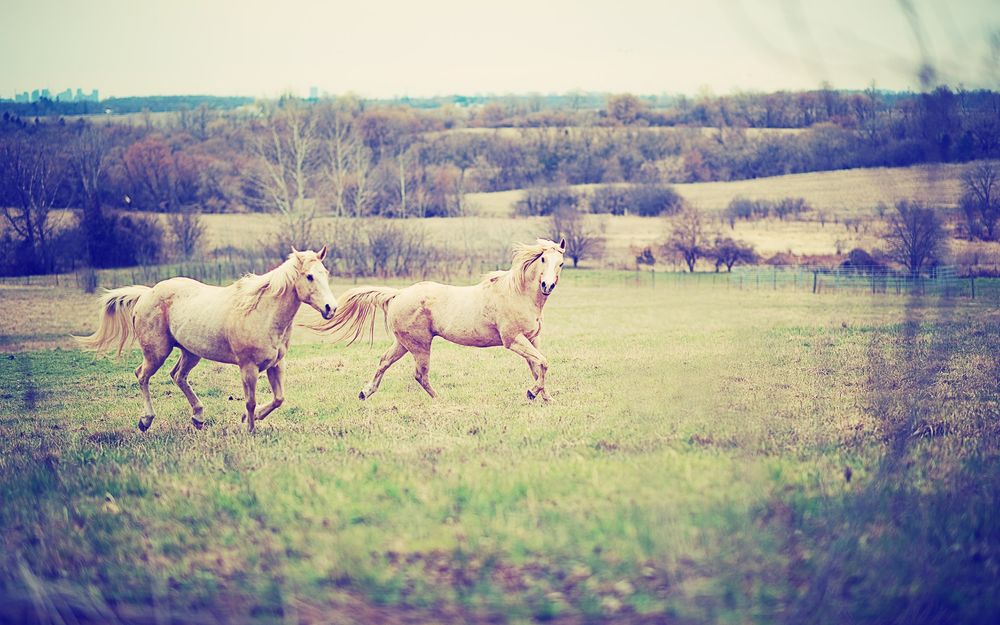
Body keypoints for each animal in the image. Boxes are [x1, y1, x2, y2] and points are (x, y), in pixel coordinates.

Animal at [74, 246, 338, 432]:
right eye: (309, 276)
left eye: (325, 273)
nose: (331, 308)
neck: (261, 312)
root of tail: (147, 294)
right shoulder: (248, 367)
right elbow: (251, 401)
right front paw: (249, 428)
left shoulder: (276, 365)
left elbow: (278, 399)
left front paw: (247, 419)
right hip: (156, 352)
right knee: (142, 375)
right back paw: (146, 420)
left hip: (191, 352)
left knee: (177, 376)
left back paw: (198, 417)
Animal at [312, 236, 564, 402]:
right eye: (543, 259)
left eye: (561, 263)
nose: (547, 286)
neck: (517, 293)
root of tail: (398, 294)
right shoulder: (513, 340)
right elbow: (543, 363)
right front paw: (532, 393)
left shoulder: (531, 339)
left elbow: (537, 367)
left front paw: (545, 398)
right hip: (420, 345)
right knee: (419, 374)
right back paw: (439, 398)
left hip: (403, 343)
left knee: (384, 361)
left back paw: (365, 392)